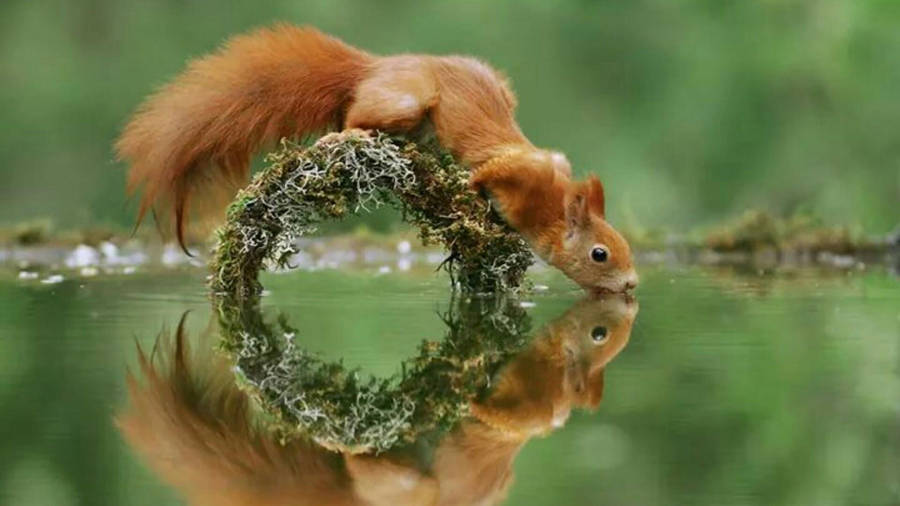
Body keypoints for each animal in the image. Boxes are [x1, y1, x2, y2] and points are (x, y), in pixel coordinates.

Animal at [116, 24, 638, 293]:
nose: (632, 285)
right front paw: (472, 195)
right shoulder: (519, 170)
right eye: (600, 253)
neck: (551, 203)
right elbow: (486, 174)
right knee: (353, 115)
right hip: (406, 100)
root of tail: (377, 68)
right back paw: (344, 135)